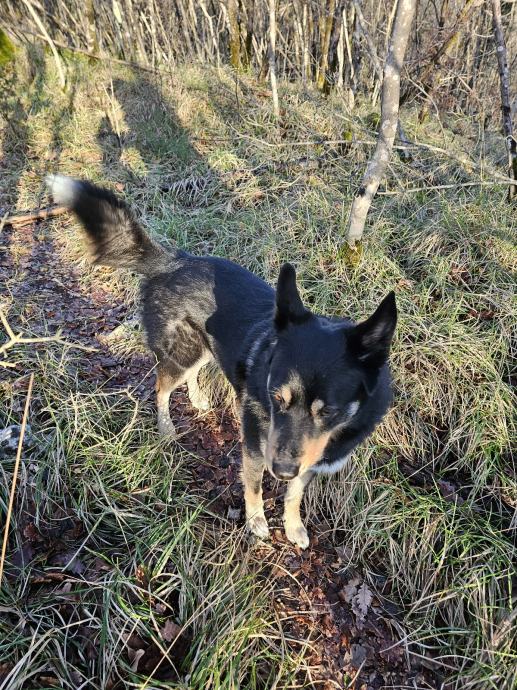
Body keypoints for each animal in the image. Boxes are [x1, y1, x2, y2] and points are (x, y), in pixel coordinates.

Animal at [46, 175, 397, 548]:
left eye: (328, 411)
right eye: (276, 398)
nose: (281, 470)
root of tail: (174, 261)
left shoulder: (309, 462)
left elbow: (294, 494)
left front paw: (293, 526)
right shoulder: (257, 446)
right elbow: (254, 486)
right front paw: (257, 522)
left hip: (205, 346)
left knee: (190, 375)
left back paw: (198, 398)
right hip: (183, 352)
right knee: (161, 387)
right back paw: (166, 428)